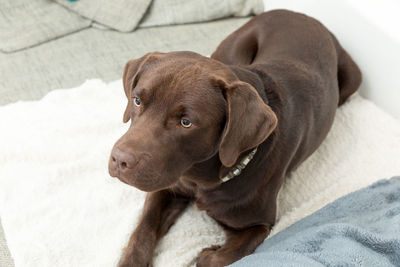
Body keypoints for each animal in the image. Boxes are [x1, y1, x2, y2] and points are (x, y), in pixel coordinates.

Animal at [108, 9, 360, 267]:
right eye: (137, 100)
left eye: (186, 122)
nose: (120, 160)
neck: (201, 180)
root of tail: (299, 13)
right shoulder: (168, 186)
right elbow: (143, 229)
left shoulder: (259, 224)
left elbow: (219, 258)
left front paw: (208, 253)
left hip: (353, 77)